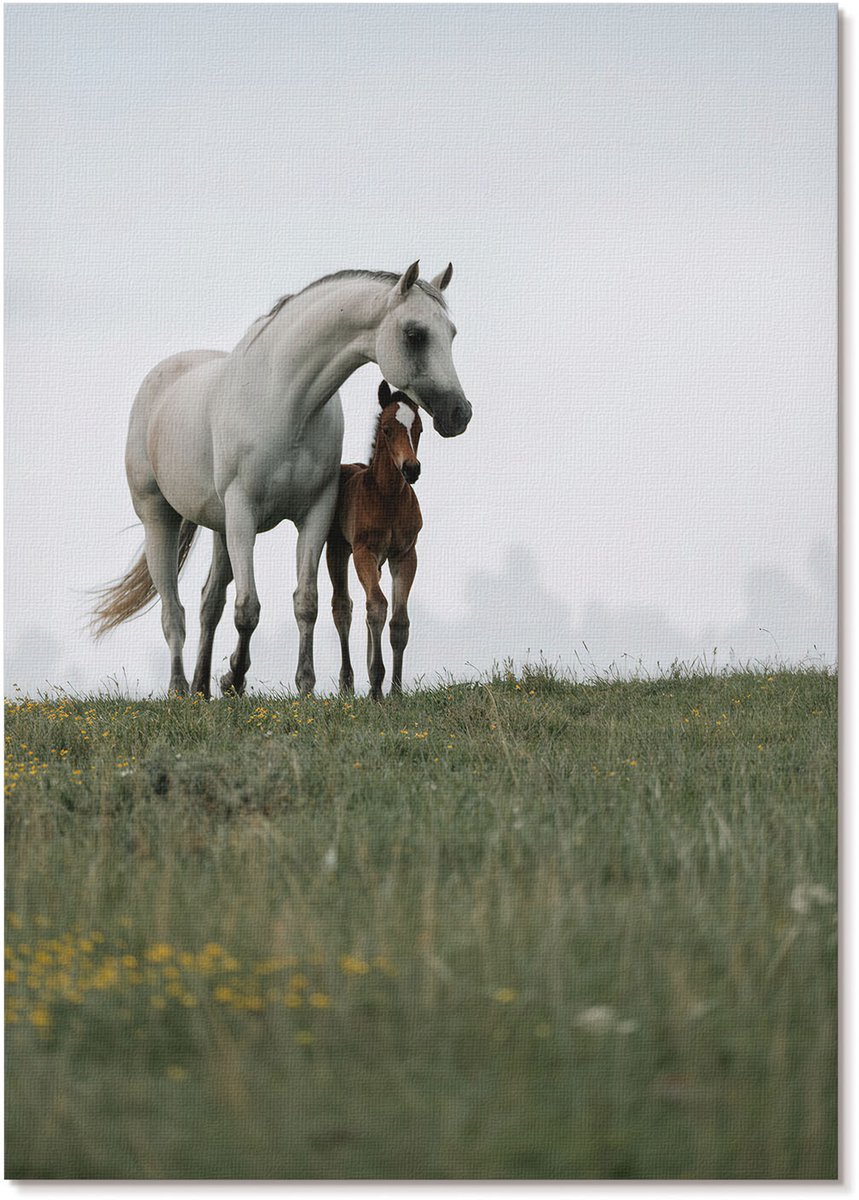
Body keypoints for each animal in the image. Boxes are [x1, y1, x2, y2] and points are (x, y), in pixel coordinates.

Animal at [326, 380, 424, 700]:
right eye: (387, 429)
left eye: (419, 428)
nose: (411, 469)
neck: (388, 496)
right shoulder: (363, 551)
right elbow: (377, 606)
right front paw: (377, 687)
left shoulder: (405, 554)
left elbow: (399, 620)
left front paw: (395, 689)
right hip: (337, 550)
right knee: (343, 608)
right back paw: (347, 683)